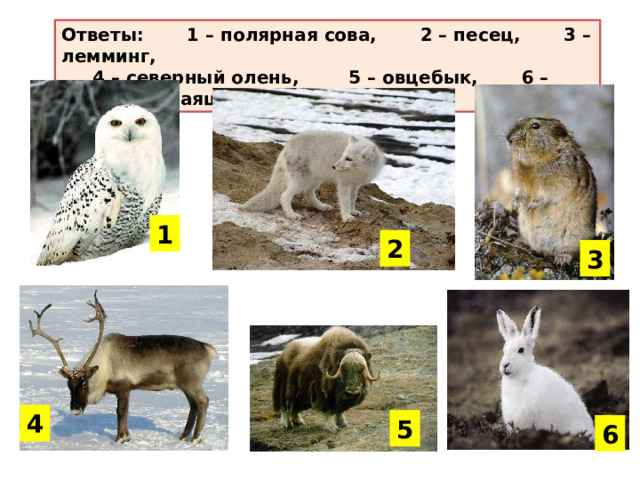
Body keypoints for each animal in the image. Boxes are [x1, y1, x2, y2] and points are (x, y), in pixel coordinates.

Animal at [28, 290, 218, 445]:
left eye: (84, 383)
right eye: (68, 385)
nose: (75, 409)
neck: (104, 368)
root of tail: (206, 347)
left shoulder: (124, 387)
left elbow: (121, 412)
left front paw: (120, 439)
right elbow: (123, 412)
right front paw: (126, 437)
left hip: (192, 383)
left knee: (203, 401)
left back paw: (195, 438)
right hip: (185, 385)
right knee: (193, 405)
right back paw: (182, 437)